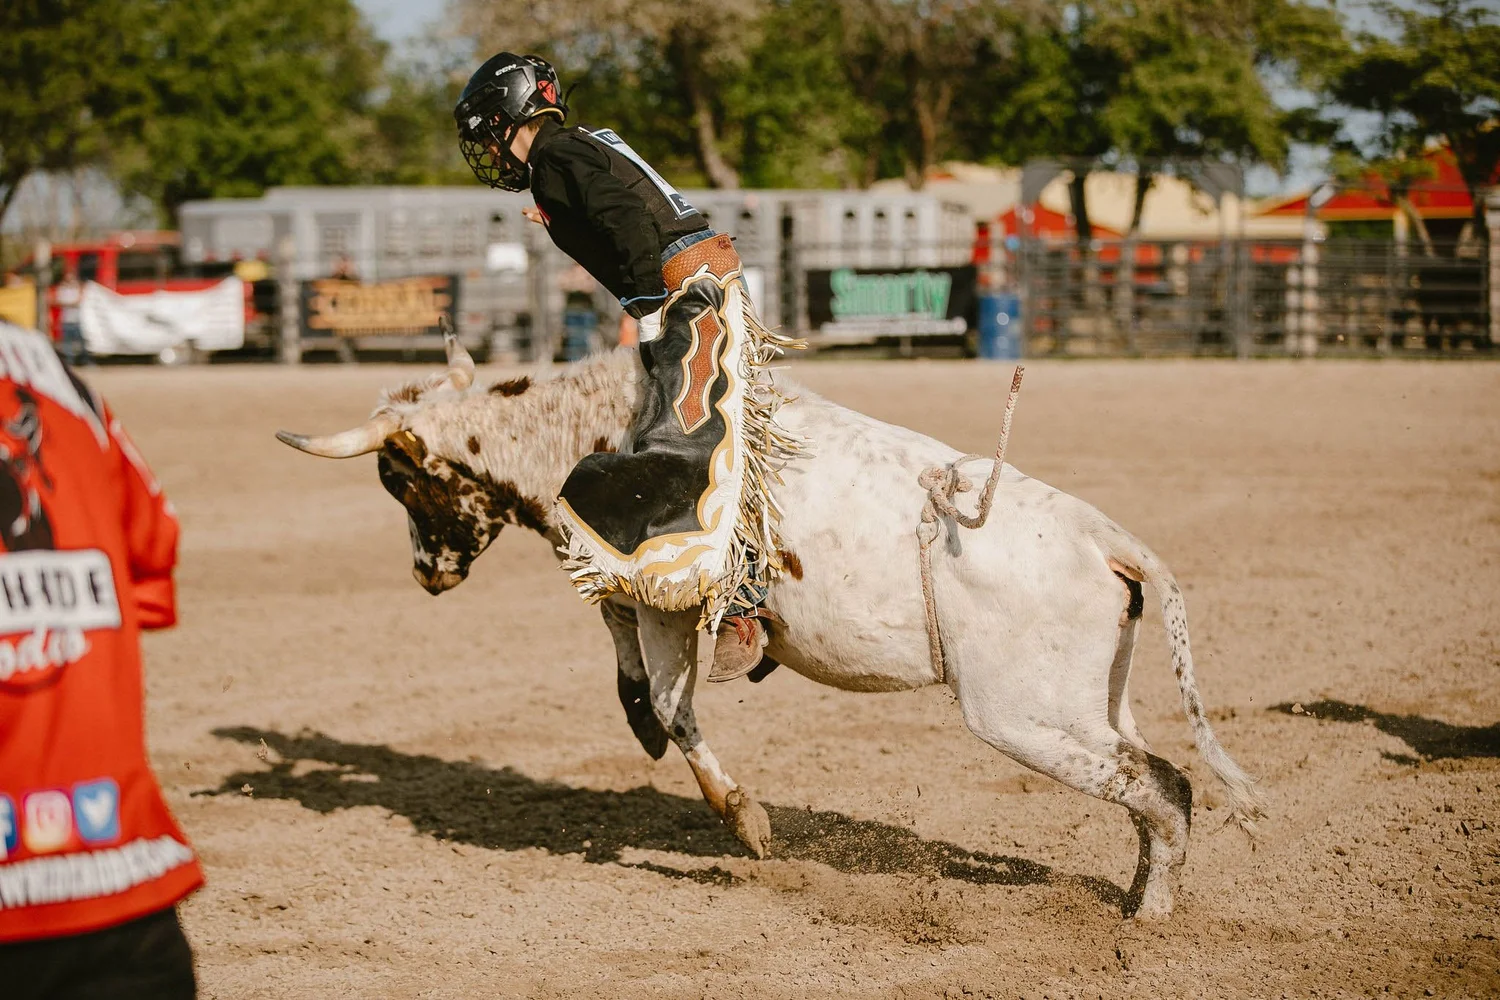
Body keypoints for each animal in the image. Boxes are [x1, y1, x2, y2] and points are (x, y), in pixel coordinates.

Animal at [277, 336, 1261, 919]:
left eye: (400, 482)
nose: (426, 573)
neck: (588, 430)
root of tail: (1110, 539)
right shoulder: (630, 598)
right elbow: (634, 681)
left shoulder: (662, 602)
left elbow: (670, 704)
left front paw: (745, 820)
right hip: (1093, 706)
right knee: (1151, 780)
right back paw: (1137, 896)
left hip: (1024, 717)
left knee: (1166, 789)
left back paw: (1146, 919)